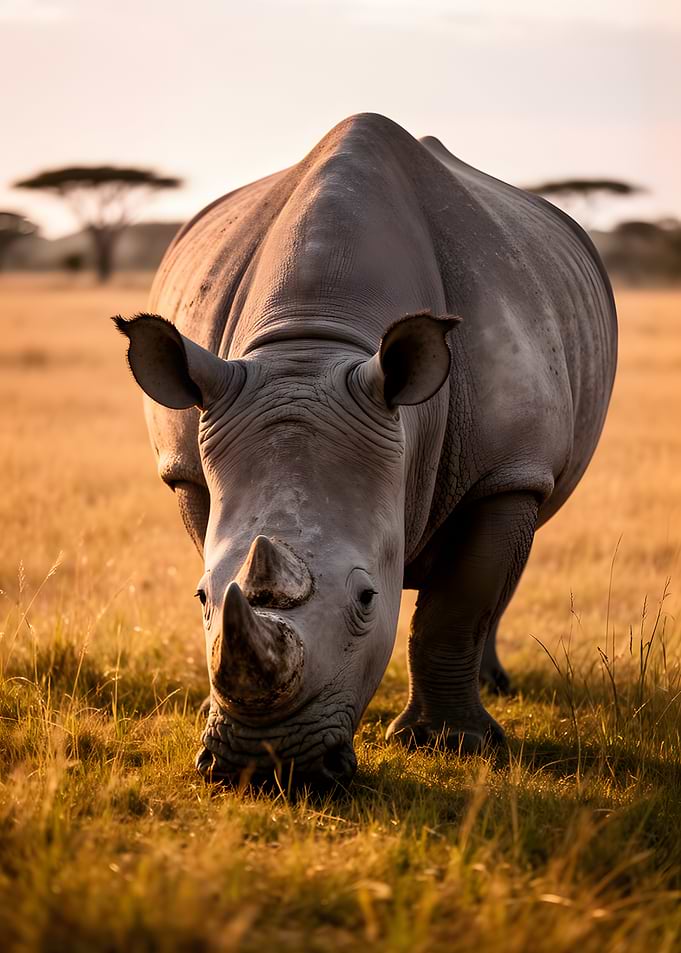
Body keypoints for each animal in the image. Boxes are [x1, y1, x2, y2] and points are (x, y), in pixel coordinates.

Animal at [114, 113, 617, 787]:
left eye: (367, 599)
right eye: (196, 597)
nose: (264, 768)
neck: (314, 340)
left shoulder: (507, 470)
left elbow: (458, 605)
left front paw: (454, 745)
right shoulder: (191, 470)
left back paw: (494, 691)